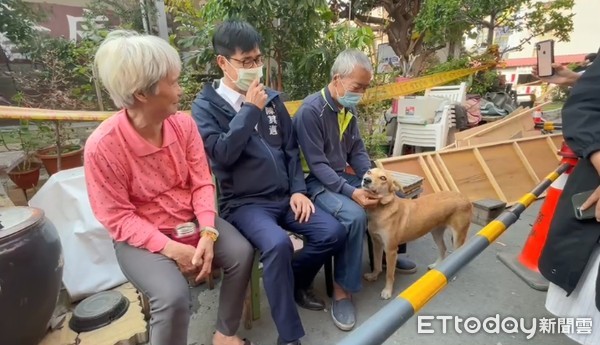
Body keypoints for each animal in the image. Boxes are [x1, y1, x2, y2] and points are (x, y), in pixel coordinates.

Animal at [360, 167, 474, 298]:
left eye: (383, 178)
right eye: (369, 172)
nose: (366, 180)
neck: (381, 209)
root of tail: (464, 197)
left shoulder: (390, 250)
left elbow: (389, 274)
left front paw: (387, 291)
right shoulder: (377, 243)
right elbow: (377, 264)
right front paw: (373, 276)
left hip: (458, 236)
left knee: (457, 254)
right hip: (436, 232)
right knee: (443, 248)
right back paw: (438, 266)